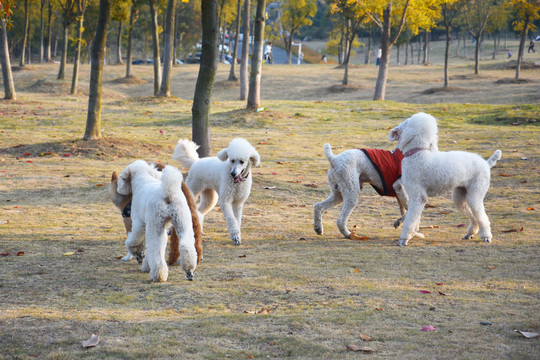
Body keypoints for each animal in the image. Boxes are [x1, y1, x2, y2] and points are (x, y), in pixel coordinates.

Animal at [388, 112, 502, 246]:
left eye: (407, 121)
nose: (395, 129)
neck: (418, 153)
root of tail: (486, 163)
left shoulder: (419, 196)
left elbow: (410, 219)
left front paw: (404, 238)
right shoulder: (413, 194)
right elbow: (412, 216)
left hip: (476, 192)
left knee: (481, 216)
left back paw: (486, 236)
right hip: (460, 195)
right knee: (472, 214)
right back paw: (470, 233)